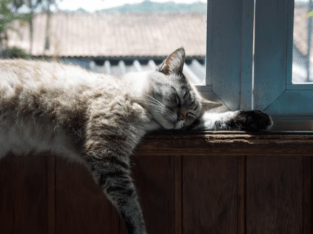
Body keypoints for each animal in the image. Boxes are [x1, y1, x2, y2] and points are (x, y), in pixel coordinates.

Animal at [0, 47, 270, 234]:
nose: (180, 118)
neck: (142, 110)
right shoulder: (106, 150)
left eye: (190, 113)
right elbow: (131, 204)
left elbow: (218, 119)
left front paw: (258, 119)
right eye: (176, 98)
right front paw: (140, 230)